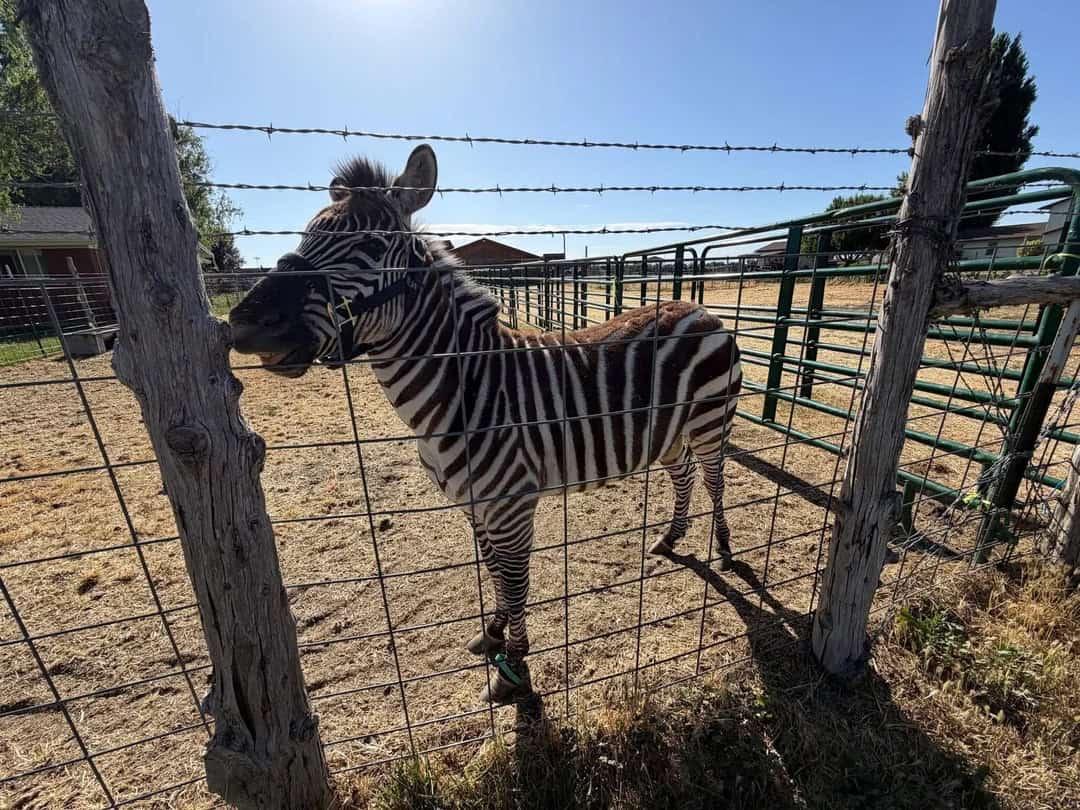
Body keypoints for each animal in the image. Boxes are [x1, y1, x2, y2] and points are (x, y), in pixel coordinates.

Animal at [228, 145, 743, 705]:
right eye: (304, 236)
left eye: (370, 245)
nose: (242, 324)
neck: (465, 384)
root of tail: (697, 306)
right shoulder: (475, 505)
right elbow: (494, 571)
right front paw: (493, 631)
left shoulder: (512, 506)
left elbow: (515, 583)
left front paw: (514, 669)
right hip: (664, 432)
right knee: (684, 475)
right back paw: (670, 539)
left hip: (711, 421)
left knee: (714, 480)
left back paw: (724, 549)